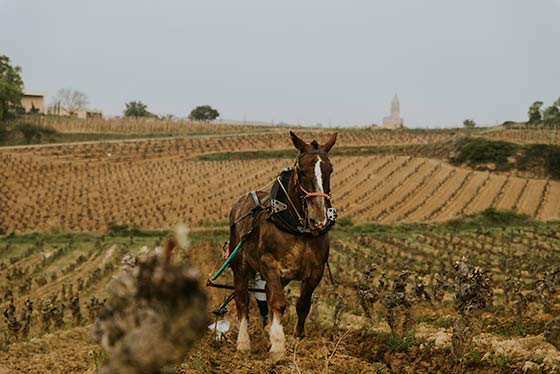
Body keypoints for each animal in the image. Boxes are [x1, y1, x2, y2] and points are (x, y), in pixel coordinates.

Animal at [228, 131, 336, 354]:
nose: (319, 220)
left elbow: (303, 304)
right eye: (302, 172)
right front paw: (278, 344)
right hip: (240, 264)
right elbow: (278, 302)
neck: (299, 229)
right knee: (242, 300)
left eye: (330, 170)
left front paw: (297, 339)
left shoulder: (316, 270)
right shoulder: (269, 263)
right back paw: (243, 343)